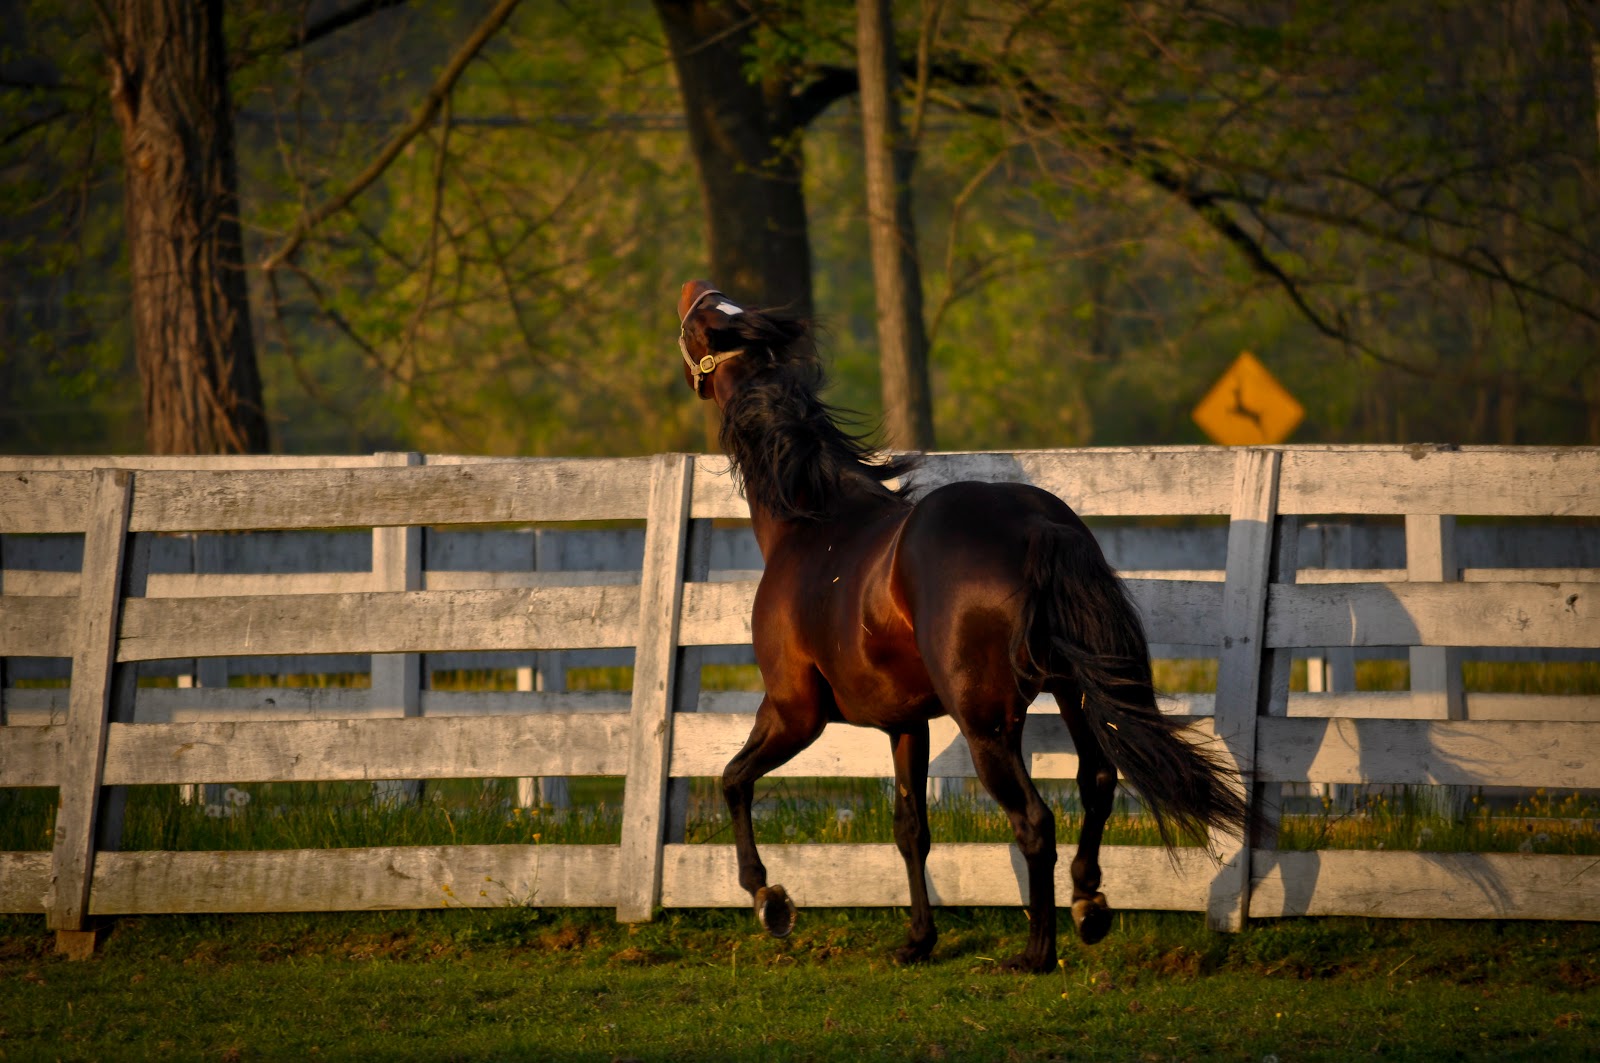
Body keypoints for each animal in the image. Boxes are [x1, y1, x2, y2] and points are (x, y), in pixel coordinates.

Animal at [674, 279, 1249, 972]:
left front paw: (769, 900)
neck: (810, 524)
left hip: (986, 725)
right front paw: (918, 940)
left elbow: (733, 779)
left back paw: (1036, 951)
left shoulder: (792, 711)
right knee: (1096, 781)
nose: (693, 289)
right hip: (1073, 693)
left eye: (705, 318)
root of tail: (1036, 525)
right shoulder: (905, 724)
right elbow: (910, 830)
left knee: (1035, 821)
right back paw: (1088, 905)